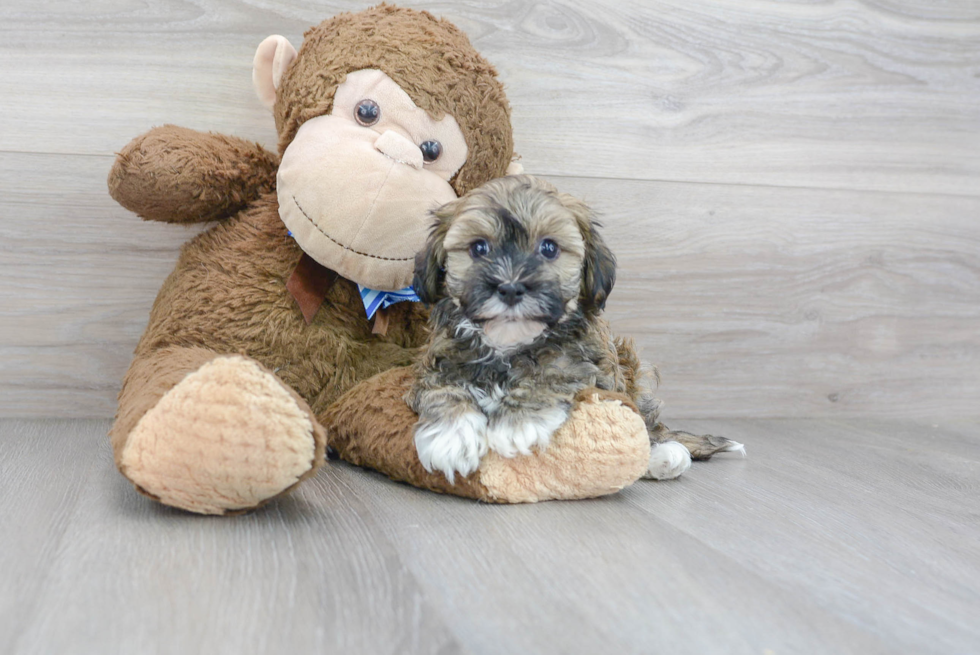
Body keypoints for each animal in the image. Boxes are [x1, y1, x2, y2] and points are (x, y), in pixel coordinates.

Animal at [406, 177, 736, 484]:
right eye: (478, 247)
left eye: (549, 248)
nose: (510, 288)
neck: (509, 344)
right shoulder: (435, 363)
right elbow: (442, 390)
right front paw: (451, 436)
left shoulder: (591, 368)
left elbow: (555, 374)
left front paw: (517, 422)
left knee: (646, 423)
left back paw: (663, 455)